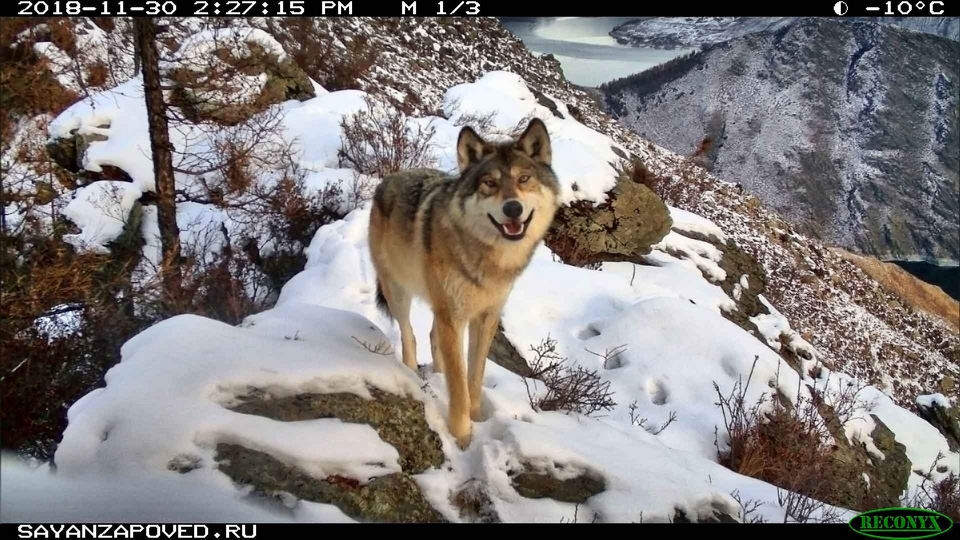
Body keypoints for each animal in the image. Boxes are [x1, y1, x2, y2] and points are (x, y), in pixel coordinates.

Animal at [368, 118, 564, 448]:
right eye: (490, 183)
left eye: (524, 179)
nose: (513, 208)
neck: (489, 260)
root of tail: (390, 177)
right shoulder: (454, 316)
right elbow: (459, 385)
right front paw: (462, 436)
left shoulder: (486, 317)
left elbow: (474, 376)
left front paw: (476, 417)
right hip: (398, 291)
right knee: (410, 335)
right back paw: (410, 373)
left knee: (432, 336)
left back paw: (438, 373)